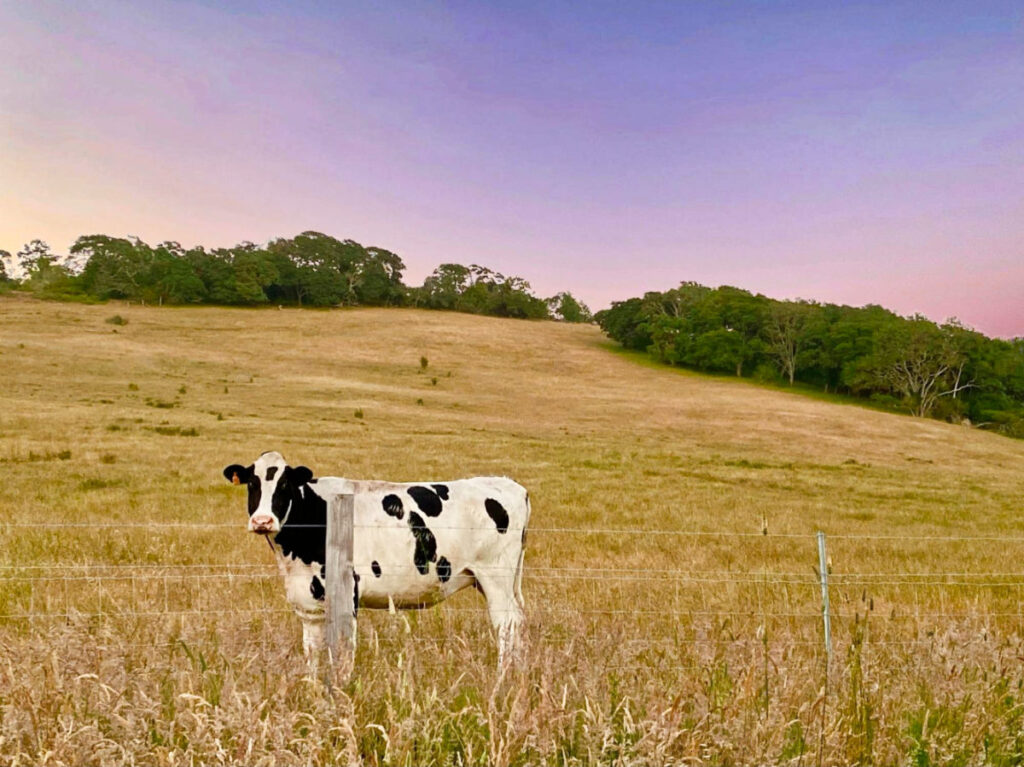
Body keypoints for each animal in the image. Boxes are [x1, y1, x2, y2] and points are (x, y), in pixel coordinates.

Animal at [222, 451, 529, 667]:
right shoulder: (308, 600)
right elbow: (312, 651)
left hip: (496, 578)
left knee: (507, 625)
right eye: (252, 484)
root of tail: (508, 483)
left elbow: (343, 651)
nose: (262, 521)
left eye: (284, 485)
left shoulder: (348, 591)